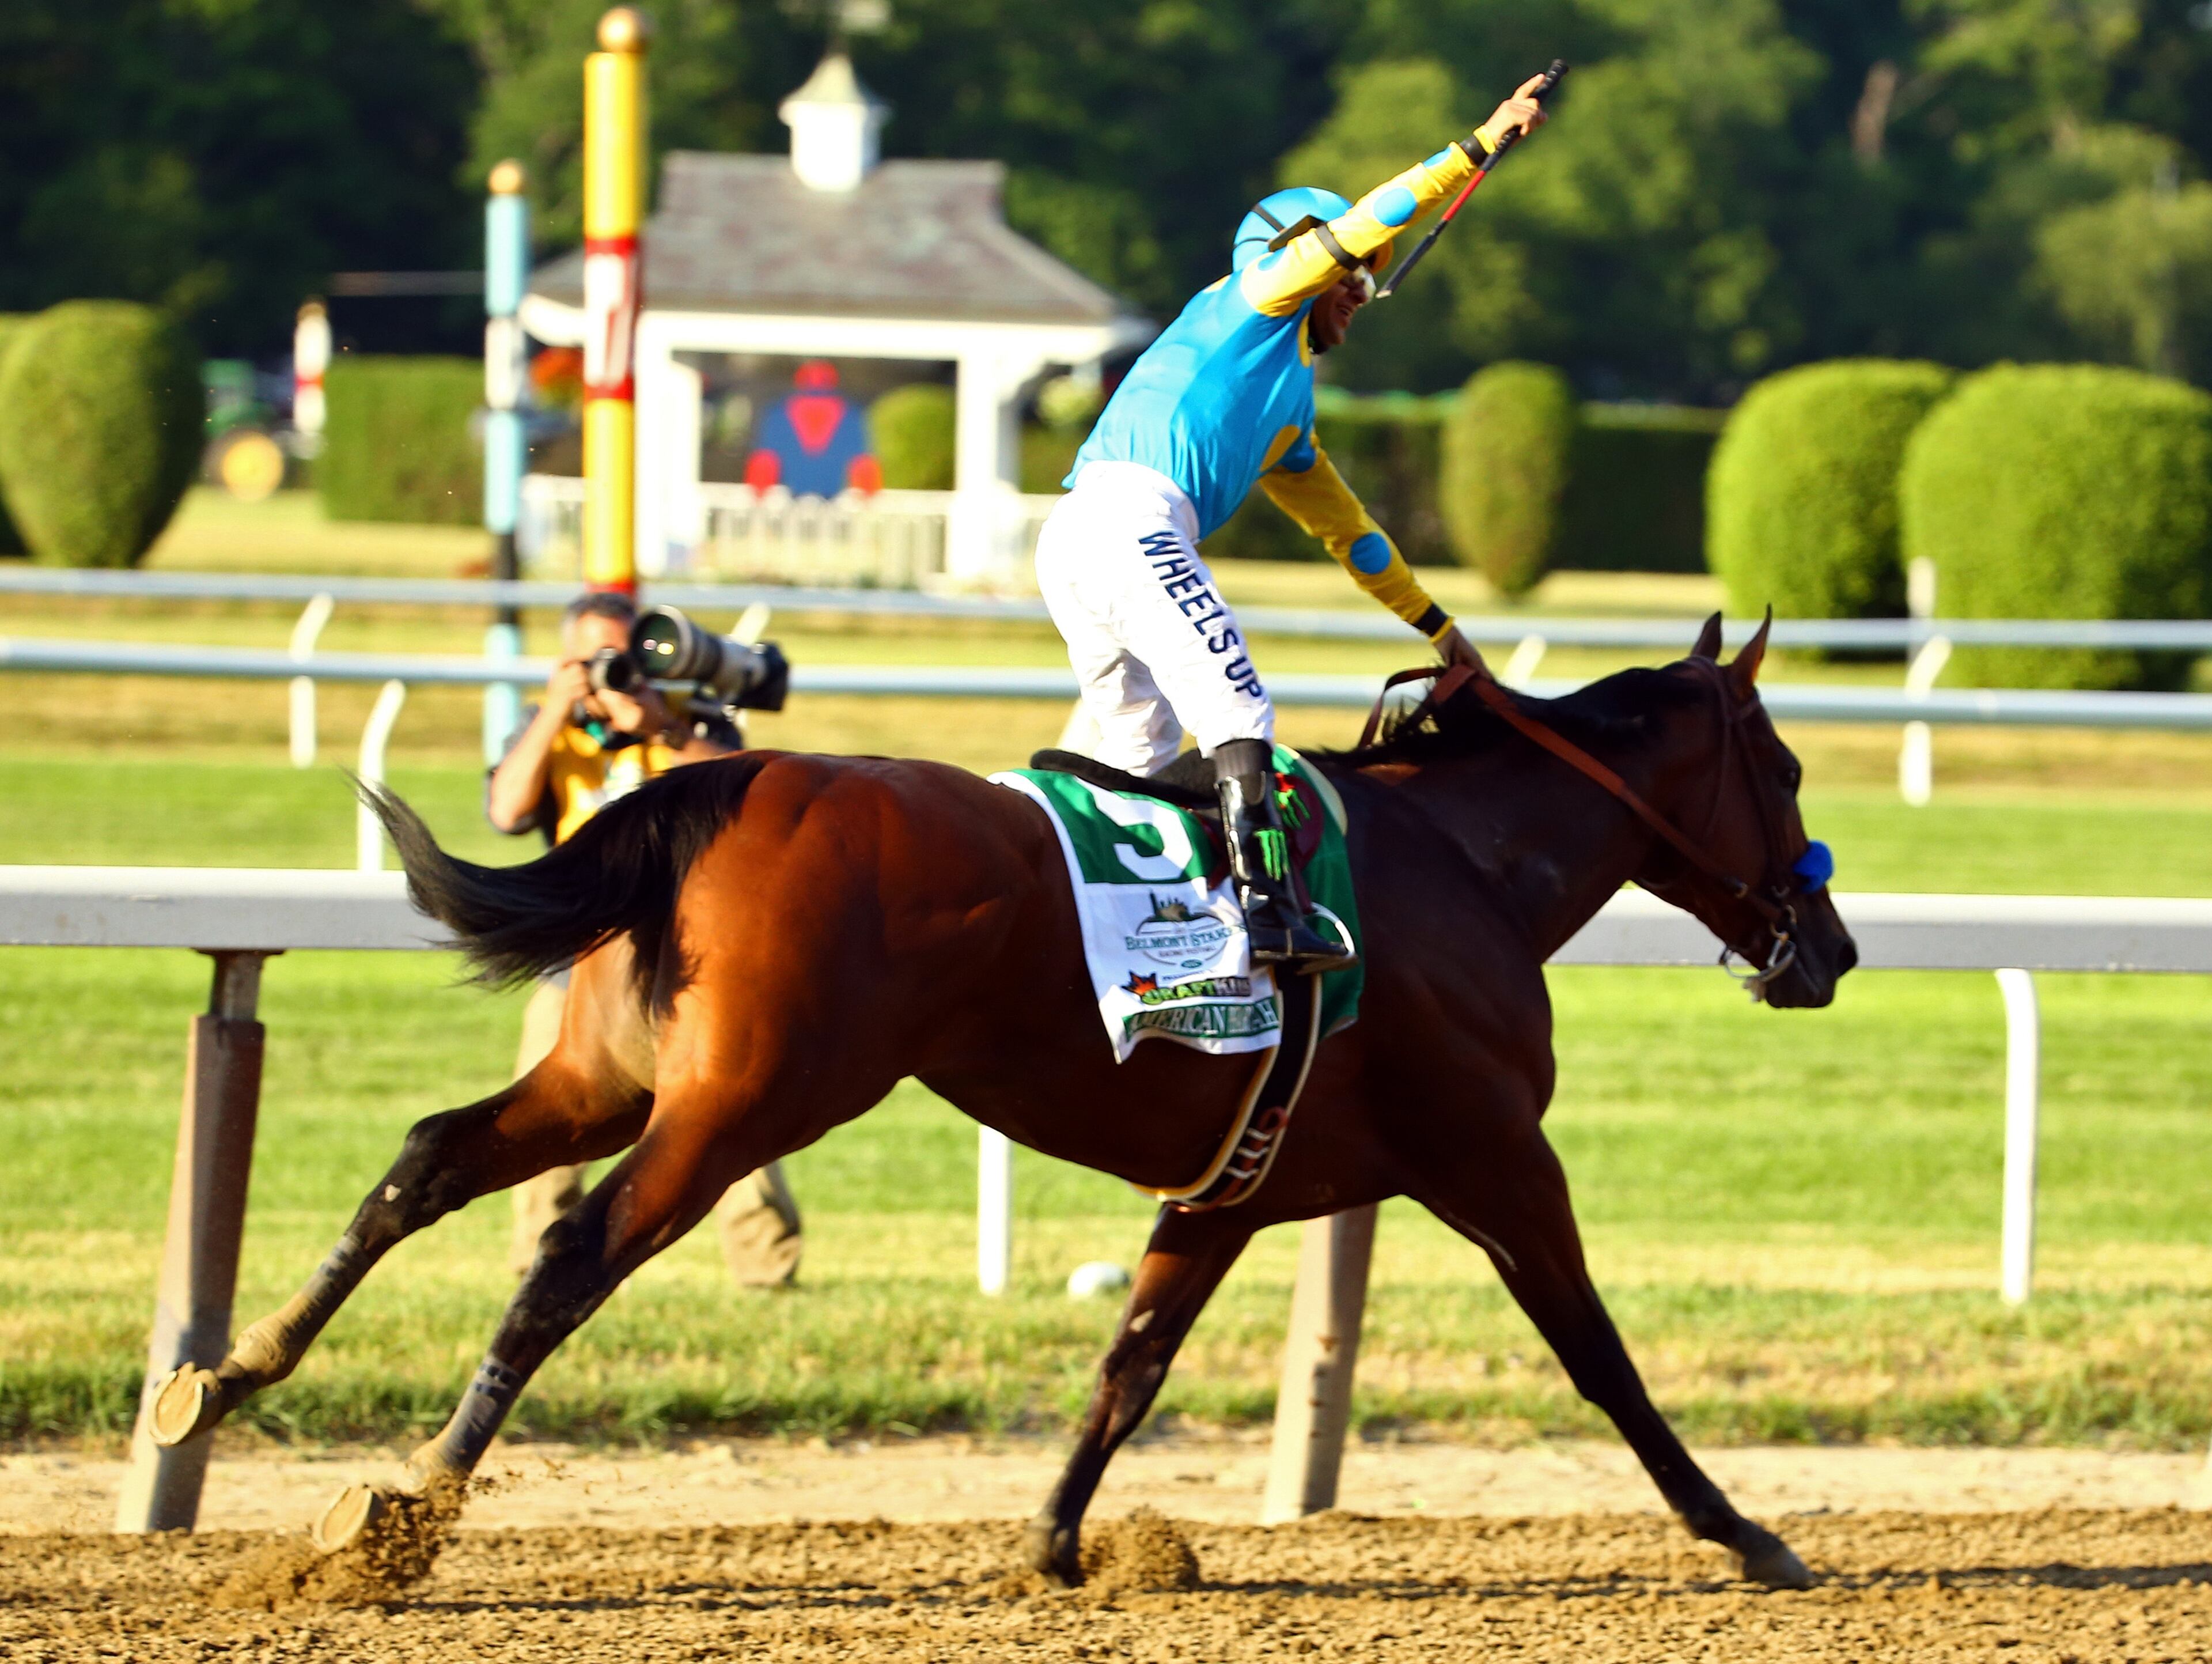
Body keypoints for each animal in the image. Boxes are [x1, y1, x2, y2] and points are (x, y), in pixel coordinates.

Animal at [147, 613, 1854, 1589]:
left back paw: (221, 1376)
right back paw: (409, 1502)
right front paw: (1746, 1532)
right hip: (743, 1105)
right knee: (572, 1259)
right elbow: (1601, 1356)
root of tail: (739, 778)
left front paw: (1057, 1542)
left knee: (429, 1159)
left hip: (604, 1076)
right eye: (1783, 771)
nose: (1826, 945)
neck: (1463, 868)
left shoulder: (1236, 1181)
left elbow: (1131, 1360)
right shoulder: (1496, 1154)